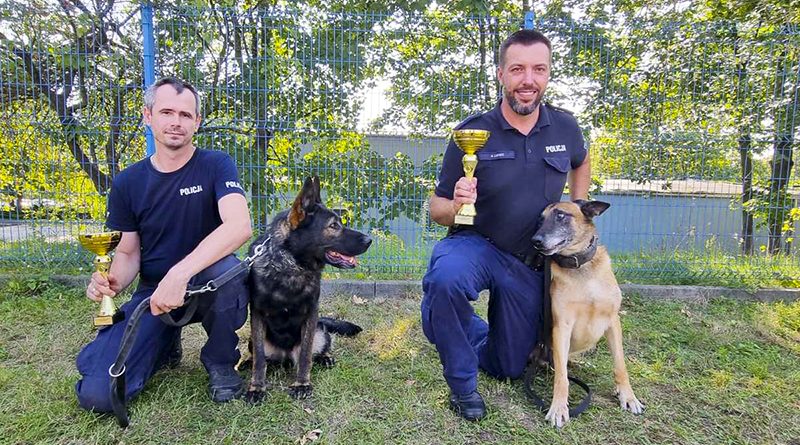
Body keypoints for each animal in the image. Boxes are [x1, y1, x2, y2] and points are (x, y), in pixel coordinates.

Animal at [244, 177, 372, 402]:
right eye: (333, 226)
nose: (369, 240)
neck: (292, 266)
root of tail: (285, 356)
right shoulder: (257, 315)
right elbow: (259, 358)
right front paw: (257, 387)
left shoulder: (311, 314)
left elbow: (305, 355)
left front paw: (302, 384)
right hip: (254, 339)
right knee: (261, 357)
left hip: (320, 332)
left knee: (319, 348)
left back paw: (326, 358)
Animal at [532, 200, 644, 426]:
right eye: (540, 219)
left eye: (560, 215)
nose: (535, 241)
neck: (582, 269)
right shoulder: (562, 327)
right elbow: (562, 378)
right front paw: (558, 407)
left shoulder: (613, 322)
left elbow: (620, 365)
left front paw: (628, 397)